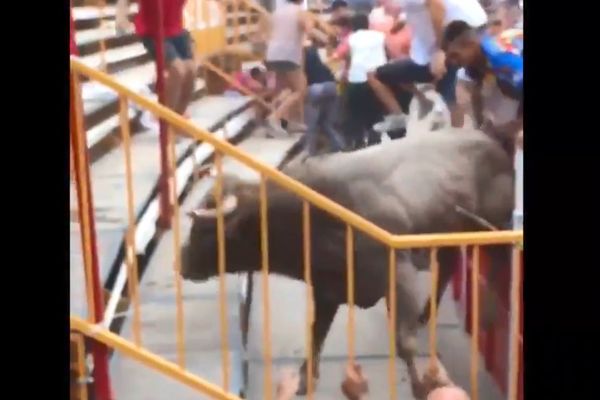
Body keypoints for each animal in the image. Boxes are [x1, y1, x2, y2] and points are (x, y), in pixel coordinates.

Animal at [180, 129, 512, 396]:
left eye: (206, 229)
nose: (182, 263)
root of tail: (490, 141)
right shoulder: (327, 290)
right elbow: (316, 334)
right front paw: (304, 380)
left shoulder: (398, 276)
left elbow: (404, 342)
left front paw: (421, 386)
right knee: (448, 265)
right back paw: (427, 313)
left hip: (494, 227)